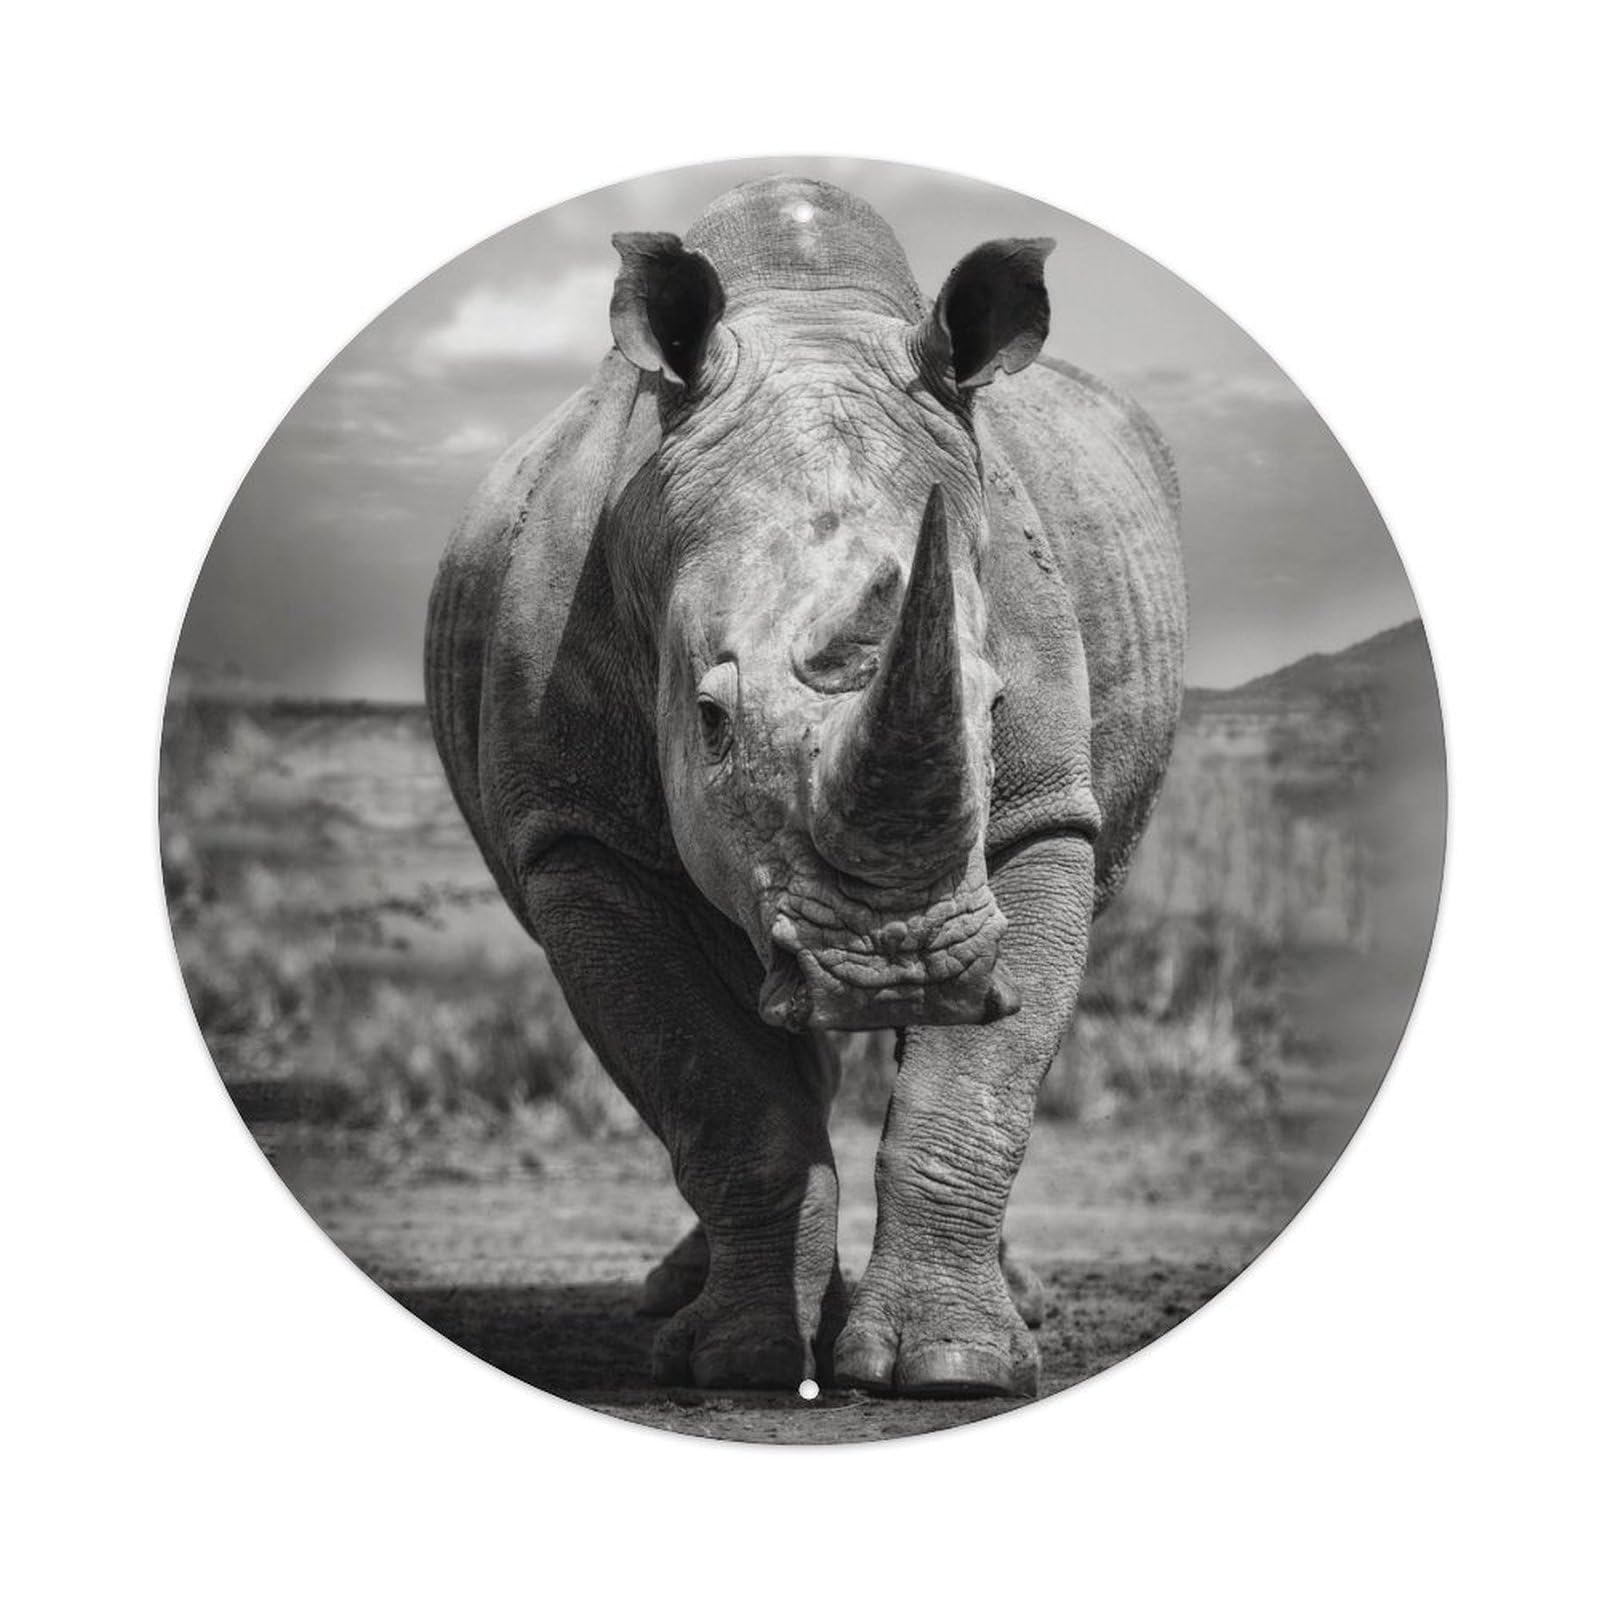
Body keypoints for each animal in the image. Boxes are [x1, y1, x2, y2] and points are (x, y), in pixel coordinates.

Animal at [425, 176, 1185, 1398]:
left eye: (994, 709)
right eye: (709, 719)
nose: (894, 966)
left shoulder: (1040, 819)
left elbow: (977, 1087)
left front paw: (955, 1366)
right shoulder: (581, 840)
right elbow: (712, 1086)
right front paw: (737, 1361)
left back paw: (1015, 1306)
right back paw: (684, 1307)